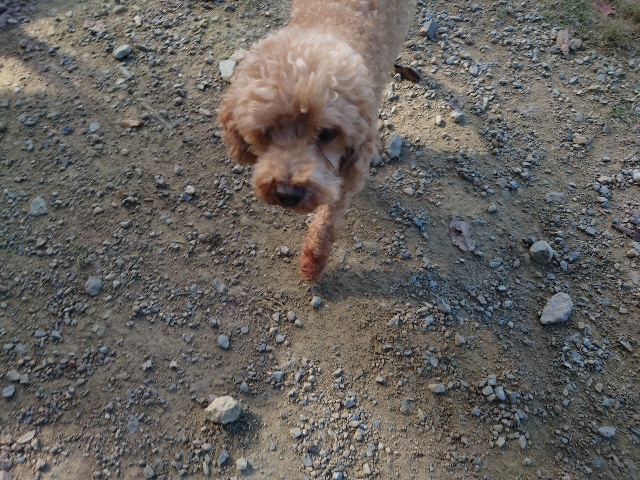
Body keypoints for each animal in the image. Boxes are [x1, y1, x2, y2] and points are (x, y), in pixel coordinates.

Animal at [218, 0, 415, 281]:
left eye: (327, 134)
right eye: (267, 131)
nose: (287, 193)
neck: (329, 28)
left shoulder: (350, 165)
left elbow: (327, 224)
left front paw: (313, 262)